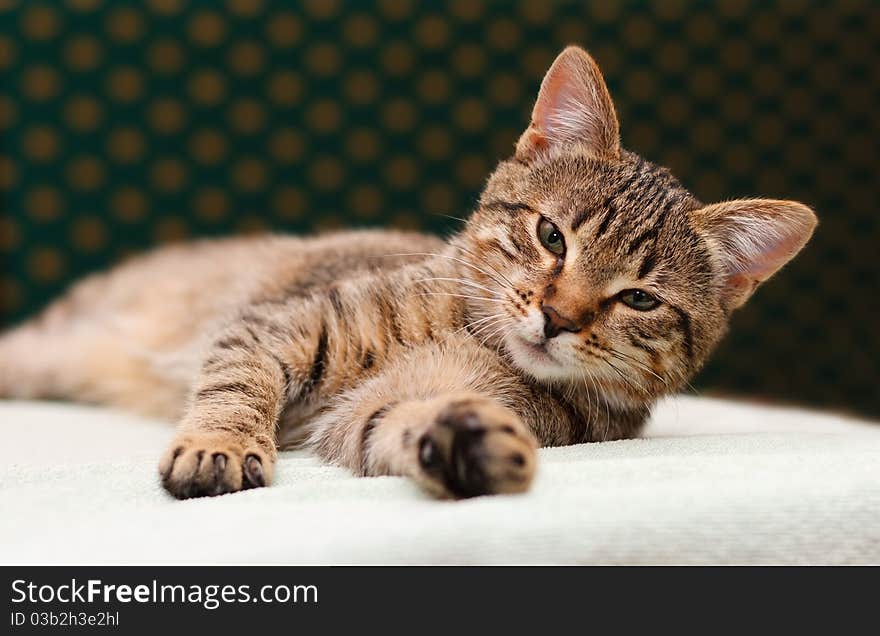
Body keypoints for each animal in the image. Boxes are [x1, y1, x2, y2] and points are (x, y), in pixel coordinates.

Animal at [0, 47, 816, 500]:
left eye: (639, 299)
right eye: (551, 236)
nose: (557, 317)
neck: (468, 334)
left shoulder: (372, 413)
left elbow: (395, 424)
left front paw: (466, 448)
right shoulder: (276, 326)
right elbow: (238, 383)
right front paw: (221, 445)